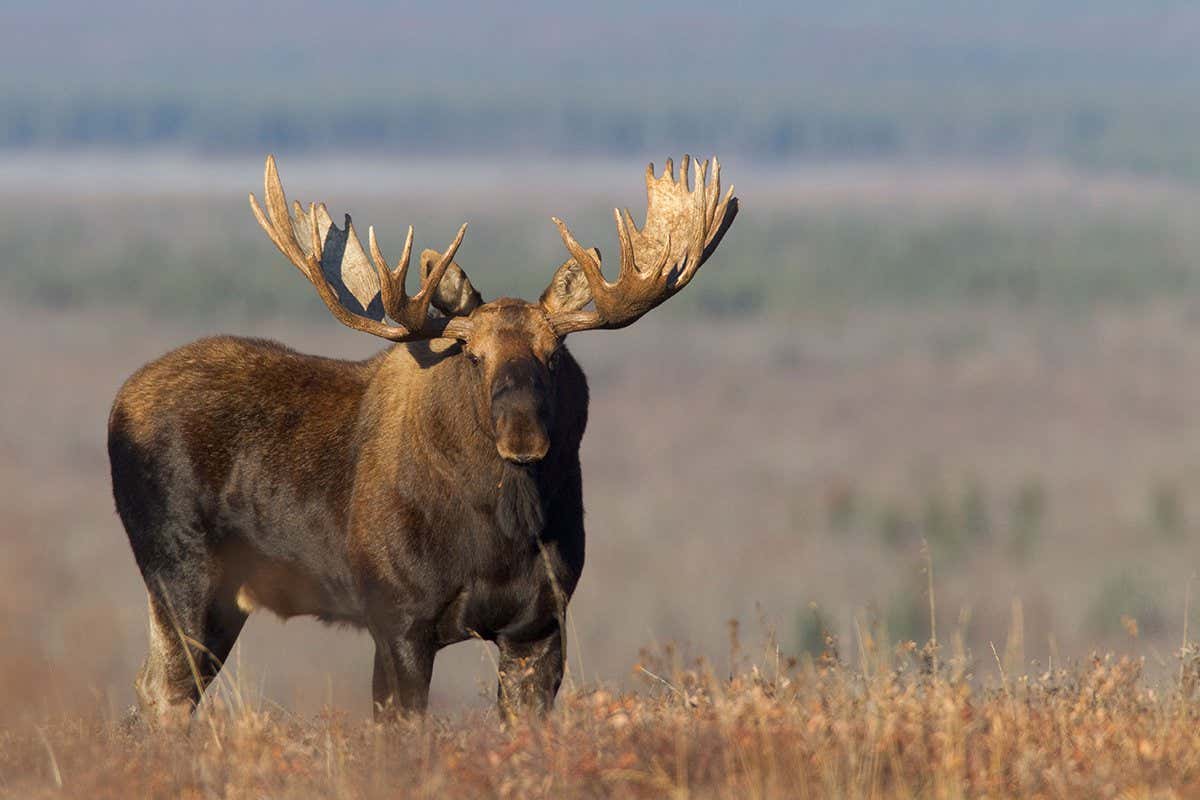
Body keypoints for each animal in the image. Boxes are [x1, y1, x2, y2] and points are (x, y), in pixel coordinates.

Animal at [108, 154, 738, 723]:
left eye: (554, 355)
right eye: (473, 355)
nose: (524, 435)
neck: (500, 533)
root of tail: (117, 407)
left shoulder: (540, 624)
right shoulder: (398, 617)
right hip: (181, 573)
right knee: (166, 693)